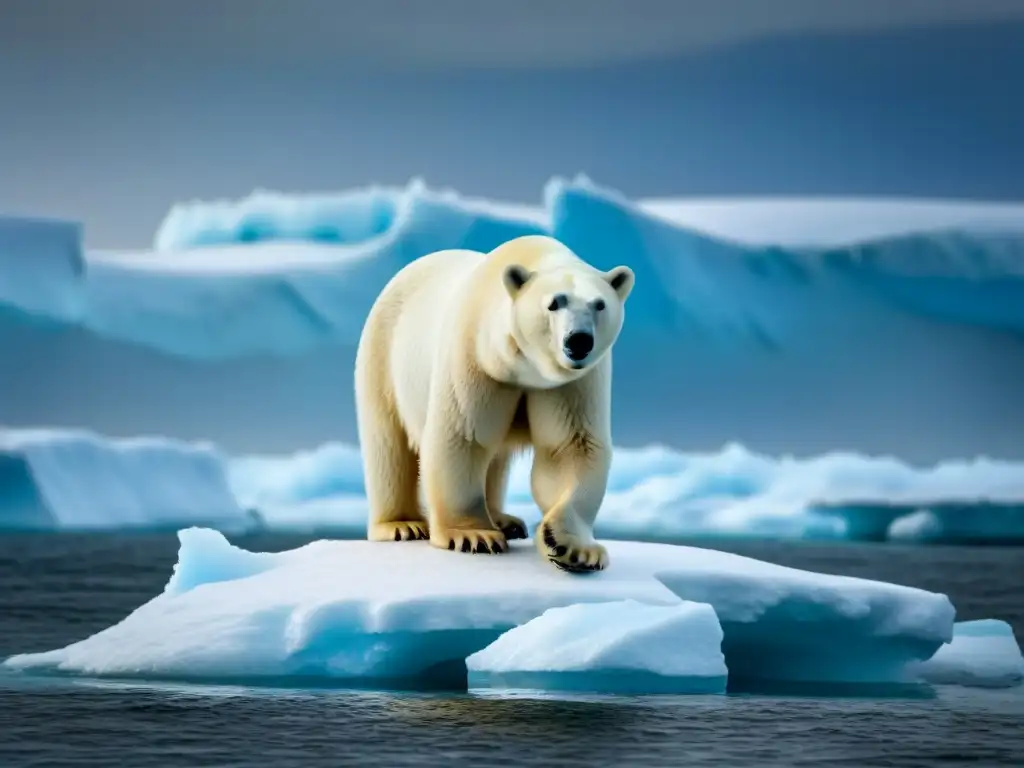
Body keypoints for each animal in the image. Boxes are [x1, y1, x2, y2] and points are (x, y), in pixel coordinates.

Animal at [356, 234, 634, 573]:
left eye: (599, 304)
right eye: (554, 303)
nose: (578, 340)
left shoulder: (570, 383)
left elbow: (569, 447)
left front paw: (572, 547)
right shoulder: (475, 359)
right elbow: (462, 437)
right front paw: (472, 535)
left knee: (496, 460)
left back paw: (505, 520)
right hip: (383, 356)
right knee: (389, 446)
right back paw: (401, 524)